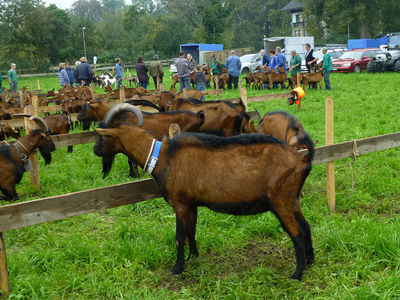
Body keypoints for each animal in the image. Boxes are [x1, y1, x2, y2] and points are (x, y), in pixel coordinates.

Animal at [94, 103, 316, 282]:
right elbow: (191, 231)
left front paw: (178, 268)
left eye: (102, 136)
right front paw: (193, 257)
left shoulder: (180, 204)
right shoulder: (191, 203)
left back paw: (298, 273)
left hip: (281, 201)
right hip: (293, 200)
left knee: (296, 233)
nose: (96, 150)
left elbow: (179, 236)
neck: (162, 156)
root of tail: (302, 159)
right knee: (306, 227)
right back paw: (311, 261)